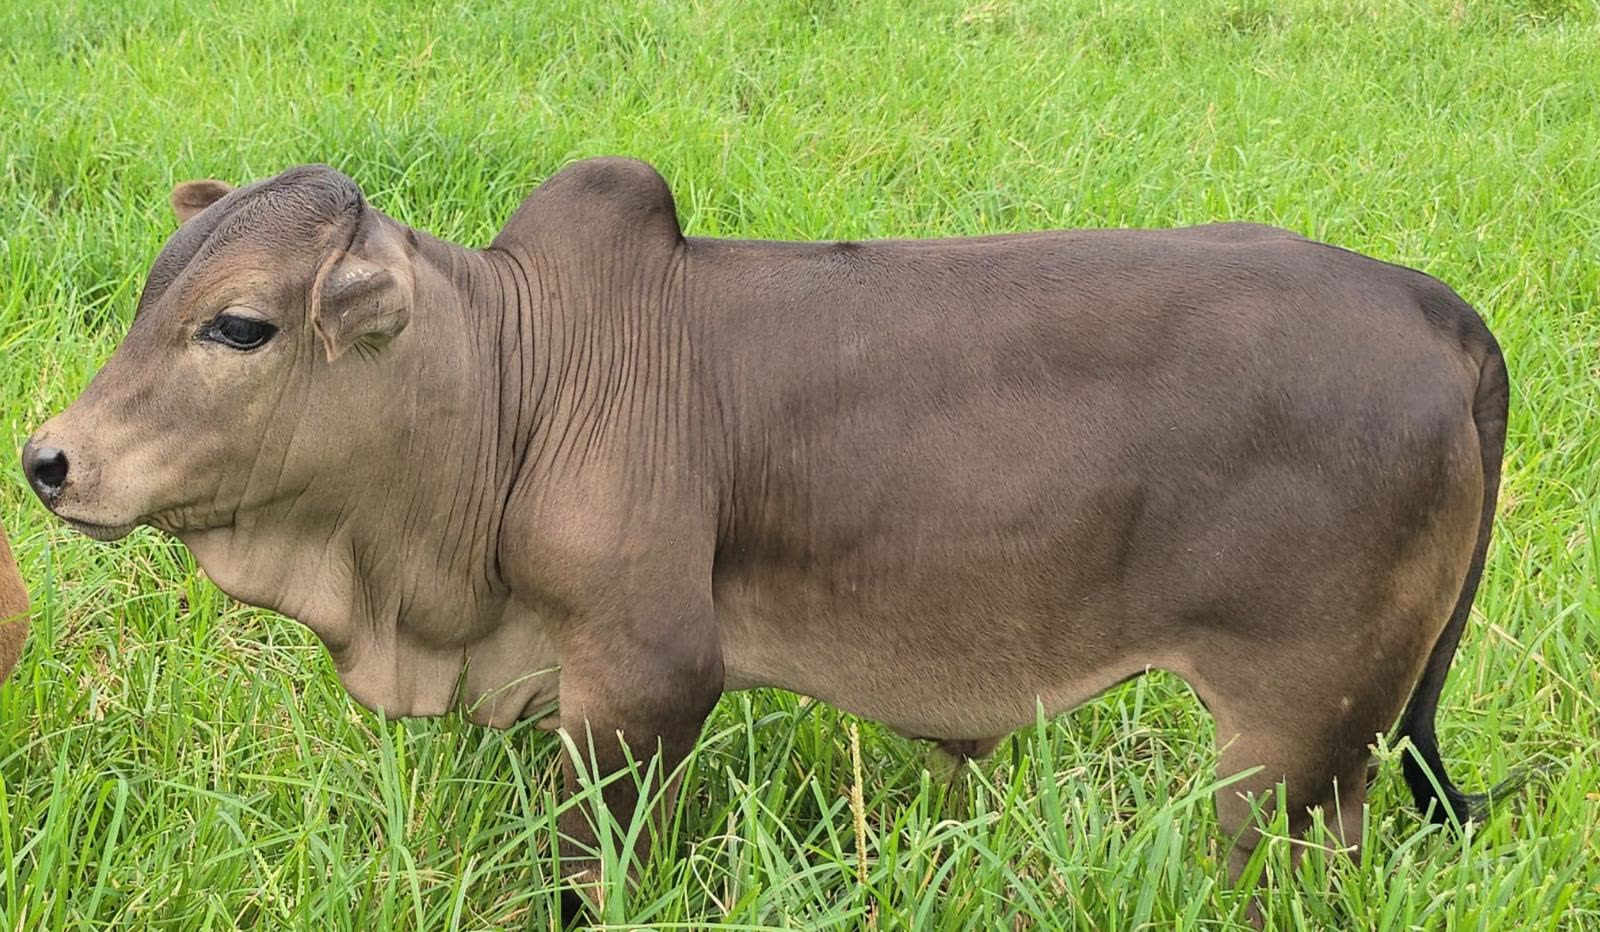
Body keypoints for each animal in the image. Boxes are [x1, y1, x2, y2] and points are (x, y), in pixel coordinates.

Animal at [23, 158, 1512, 911]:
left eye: (238, 324)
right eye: (152, 293)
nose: (48, 460)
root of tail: (1434, 307)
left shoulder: (642, 681)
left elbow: (595, 873)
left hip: (1287, 736)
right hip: (1344, 751)